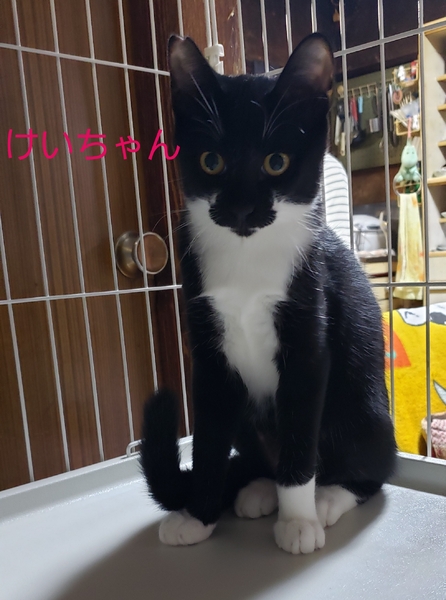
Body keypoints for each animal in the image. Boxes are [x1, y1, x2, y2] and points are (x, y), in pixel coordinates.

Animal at [140, 33, 396, 554]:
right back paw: (257, 488)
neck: (247, 261)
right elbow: (208, 440)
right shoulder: (208, 355)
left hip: (362, 407)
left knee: (372, 466)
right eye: (211, 161)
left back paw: (327, 496)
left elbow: (301, 433)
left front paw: (298, 521)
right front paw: (198, 514)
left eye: (275, 163)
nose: (241, 209)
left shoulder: (309, 336)